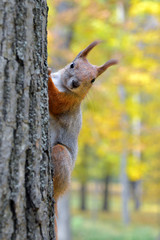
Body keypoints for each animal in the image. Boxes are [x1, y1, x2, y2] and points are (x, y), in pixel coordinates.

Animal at [47, 39, 117, 238]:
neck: (62, 84)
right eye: (72, 64)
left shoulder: (69, 103)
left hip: (61, 155)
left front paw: (46, 75)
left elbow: (55, 101)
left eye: (93, 80)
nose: (75, 83)